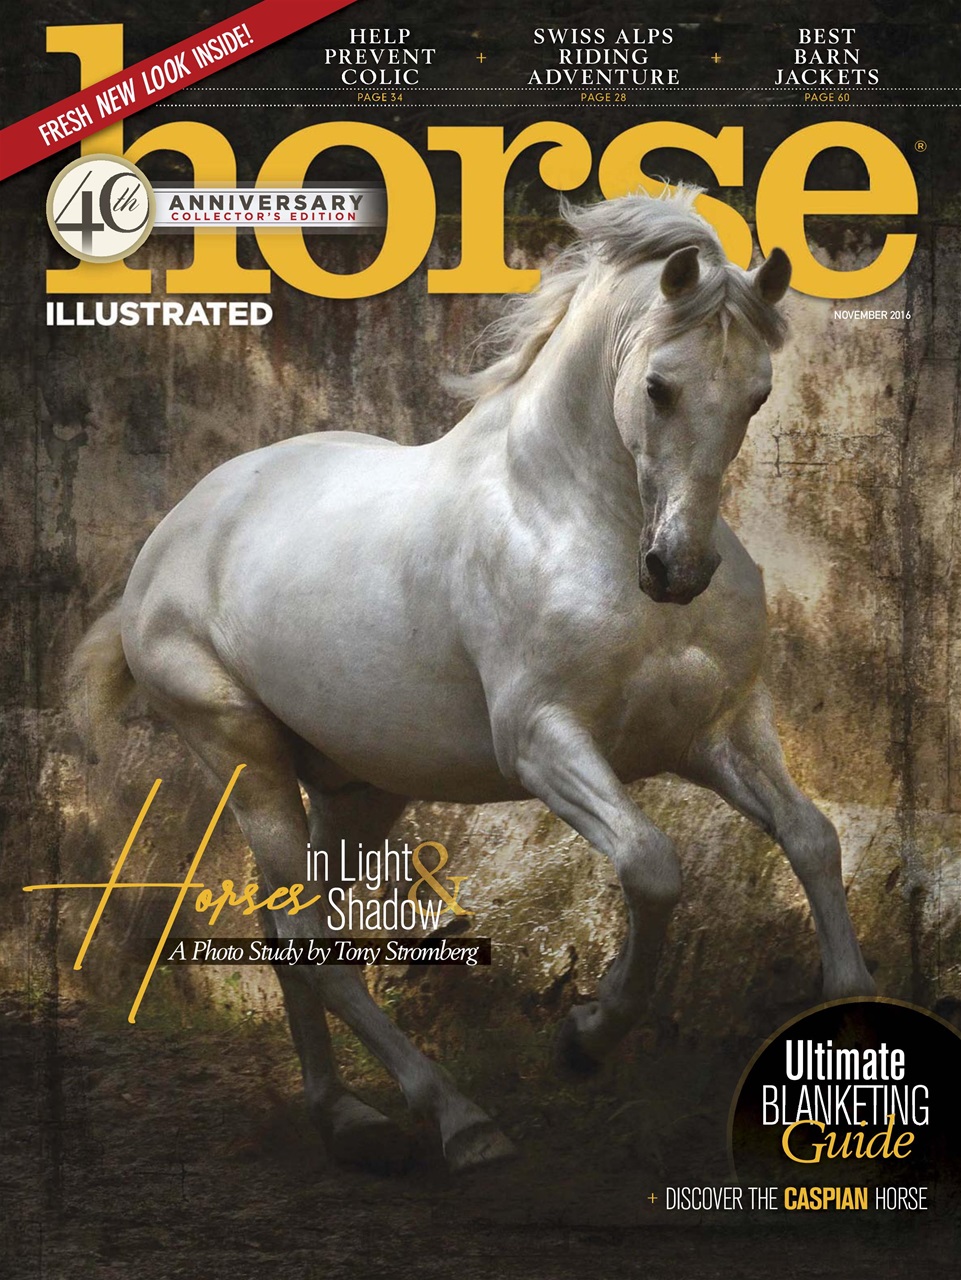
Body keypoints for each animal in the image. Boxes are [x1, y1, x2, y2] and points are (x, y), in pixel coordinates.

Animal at [70, 188, 875, 1174]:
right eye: (658, 387)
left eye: (757, 395)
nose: (677, 571)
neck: (575, 520)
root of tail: (173, 533)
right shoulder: (541, 740)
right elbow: (650, 866)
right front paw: (586, 1036)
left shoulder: (717, 730)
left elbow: (810, 838)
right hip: (241, 754)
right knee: (306, 936)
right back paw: (457, 1119)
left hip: (357, 786)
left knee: (293, 929)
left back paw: (345, 1116)